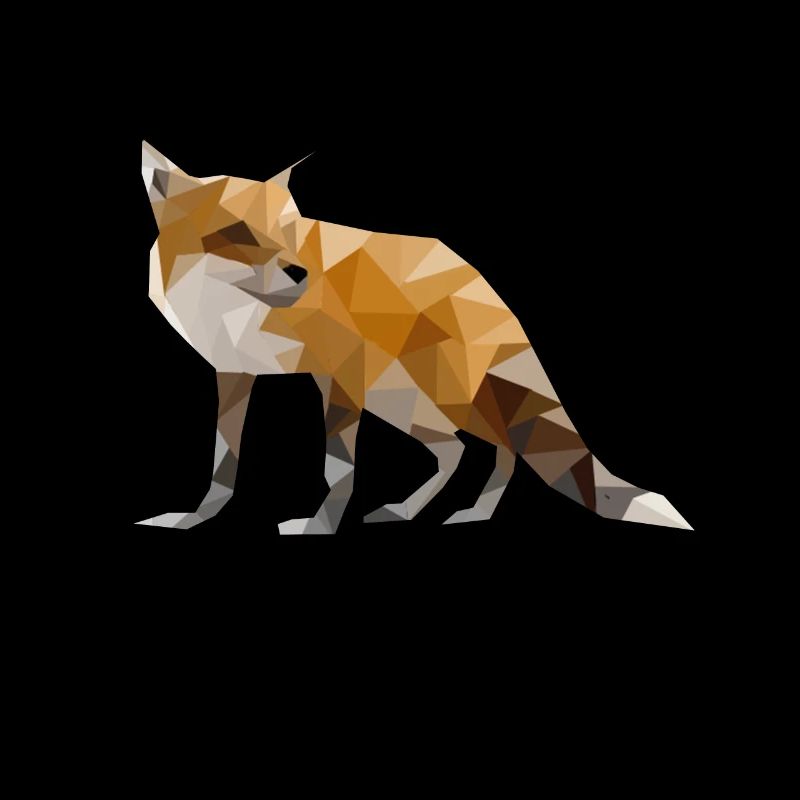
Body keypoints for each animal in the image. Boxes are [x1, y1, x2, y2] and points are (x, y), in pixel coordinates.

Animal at [137, 140, 691, 534]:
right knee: (455, 451)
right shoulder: (233, 375)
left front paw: (320, 526)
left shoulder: (336, 377)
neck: (242, 316)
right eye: (237, 232)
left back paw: (471, 514)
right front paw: (194, 519)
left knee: (498, 449)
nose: (302, 273)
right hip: (401, 402)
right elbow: (222, 467)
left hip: (439, 396)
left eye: (289, 230)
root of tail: (478, 277)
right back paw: (411, 511)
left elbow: (339, 468)